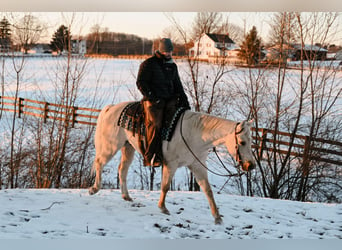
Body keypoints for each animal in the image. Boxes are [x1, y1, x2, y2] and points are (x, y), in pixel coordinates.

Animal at [89, 101, 255, 225]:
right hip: (111, 146)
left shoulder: (198, 165)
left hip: (128, 147)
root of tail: (110, 108)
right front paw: (163, 208)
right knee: (99, 162)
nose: (251, 165)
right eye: (242, 142)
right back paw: (94, 189)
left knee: (122, 169)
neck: (194, 134)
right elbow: (165, 186)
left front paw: (217, 217)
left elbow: (207, 190)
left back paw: (126, 196)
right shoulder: (171, 164)